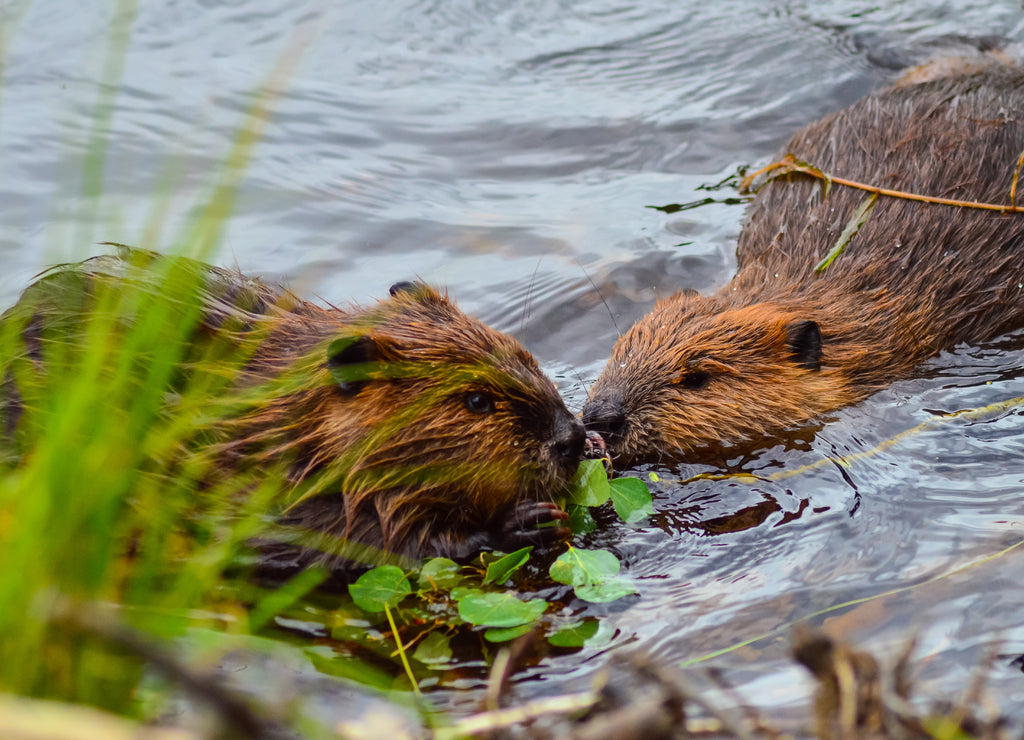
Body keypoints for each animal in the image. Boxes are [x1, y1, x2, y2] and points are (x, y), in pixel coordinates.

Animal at [2, 247, 585, 577]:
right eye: (477, 400)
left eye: (525, 355)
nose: (570, 439)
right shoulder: (239, 480)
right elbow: (351, 539)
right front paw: (521, 522)